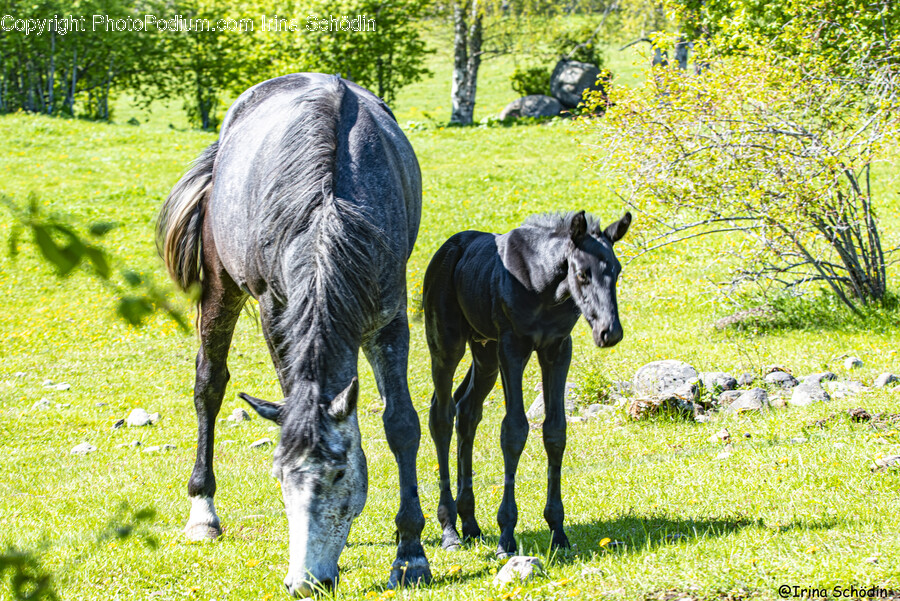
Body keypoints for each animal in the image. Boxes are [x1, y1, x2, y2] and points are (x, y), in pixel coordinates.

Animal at [156, 73, 431, 596]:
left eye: (340, 474)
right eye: (280, 476)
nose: (305, 583)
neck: (330, 216)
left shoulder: (390, 318)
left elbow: (402, 423)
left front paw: (411, 554)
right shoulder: (274, 310)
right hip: (220, 286)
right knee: (209, 385)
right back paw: (203, 514)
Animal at [423, 210, 631, 557]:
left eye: (616, 272)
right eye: (582, 273)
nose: (609, 331)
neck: (543, 287)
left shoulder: (557, 348)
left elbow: (555, 431)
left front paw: (558, 532)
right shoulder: (513, 346)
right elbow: (514, 430)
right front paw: (506, 535)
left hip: (485, 351)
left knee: (467, 410)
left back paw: (471, 524)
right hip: (447, 344)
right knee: (441, 415)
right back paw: (450, 529)